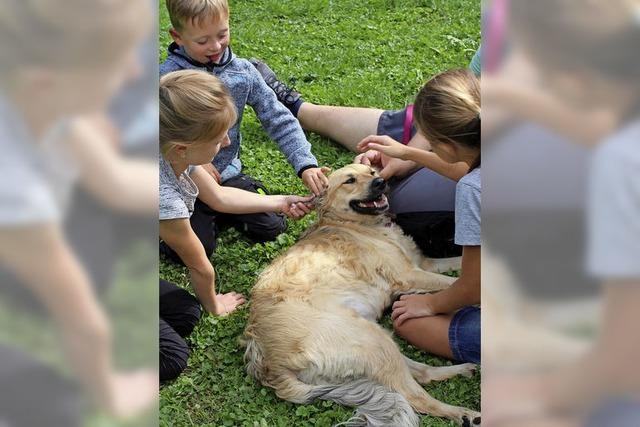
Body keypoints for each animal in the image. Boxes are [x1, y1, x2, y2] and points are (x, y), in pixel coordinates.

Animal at [245, 165, 480, 427]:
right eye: (350, 180)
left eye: (372, 171)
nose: (381, 182)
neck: (358, 225)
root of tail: (266, 360)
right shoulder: (410, 275)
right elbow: (455, 284)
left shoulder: (423, 265)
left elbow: (461, 267)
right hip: (372, 341)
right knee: (416, 397)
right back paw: (465, 413)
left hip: (373, 341)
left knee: (421, 374)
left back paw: (460, 371)